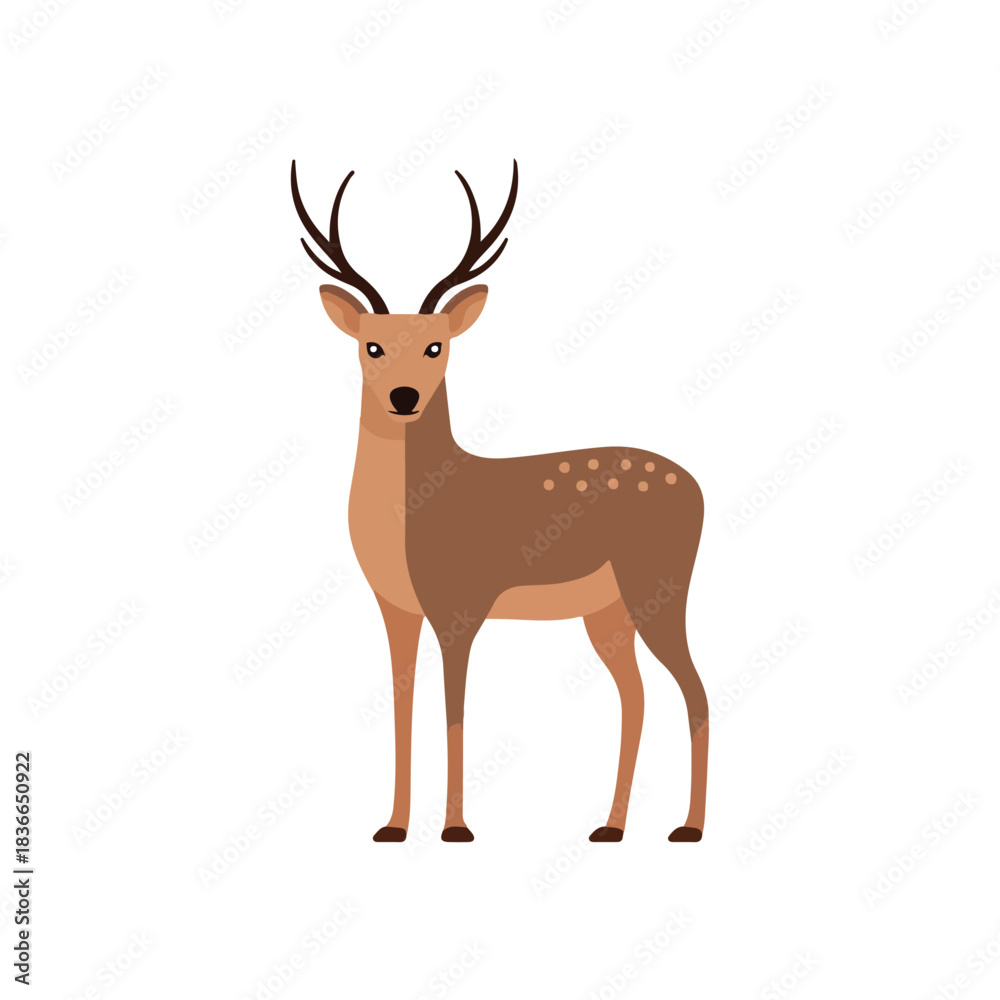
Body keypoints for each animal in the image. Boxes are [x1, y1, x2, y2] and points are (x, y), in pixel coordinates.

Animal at [290, 159, 708, 844]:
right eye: (371, 345)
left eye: (437, 345)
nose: (403, 397)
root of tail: (699, 488)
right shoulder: (395, 608)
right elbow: (402, 706)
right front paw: (393, 826)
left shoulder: (460, 603)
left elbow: (454, 708)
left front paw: (456, 828)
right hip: (609, 610)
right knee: (637, 694)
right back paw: (610, 827)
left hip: (660, 587)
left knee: (694, 689)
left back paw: (689, 829)